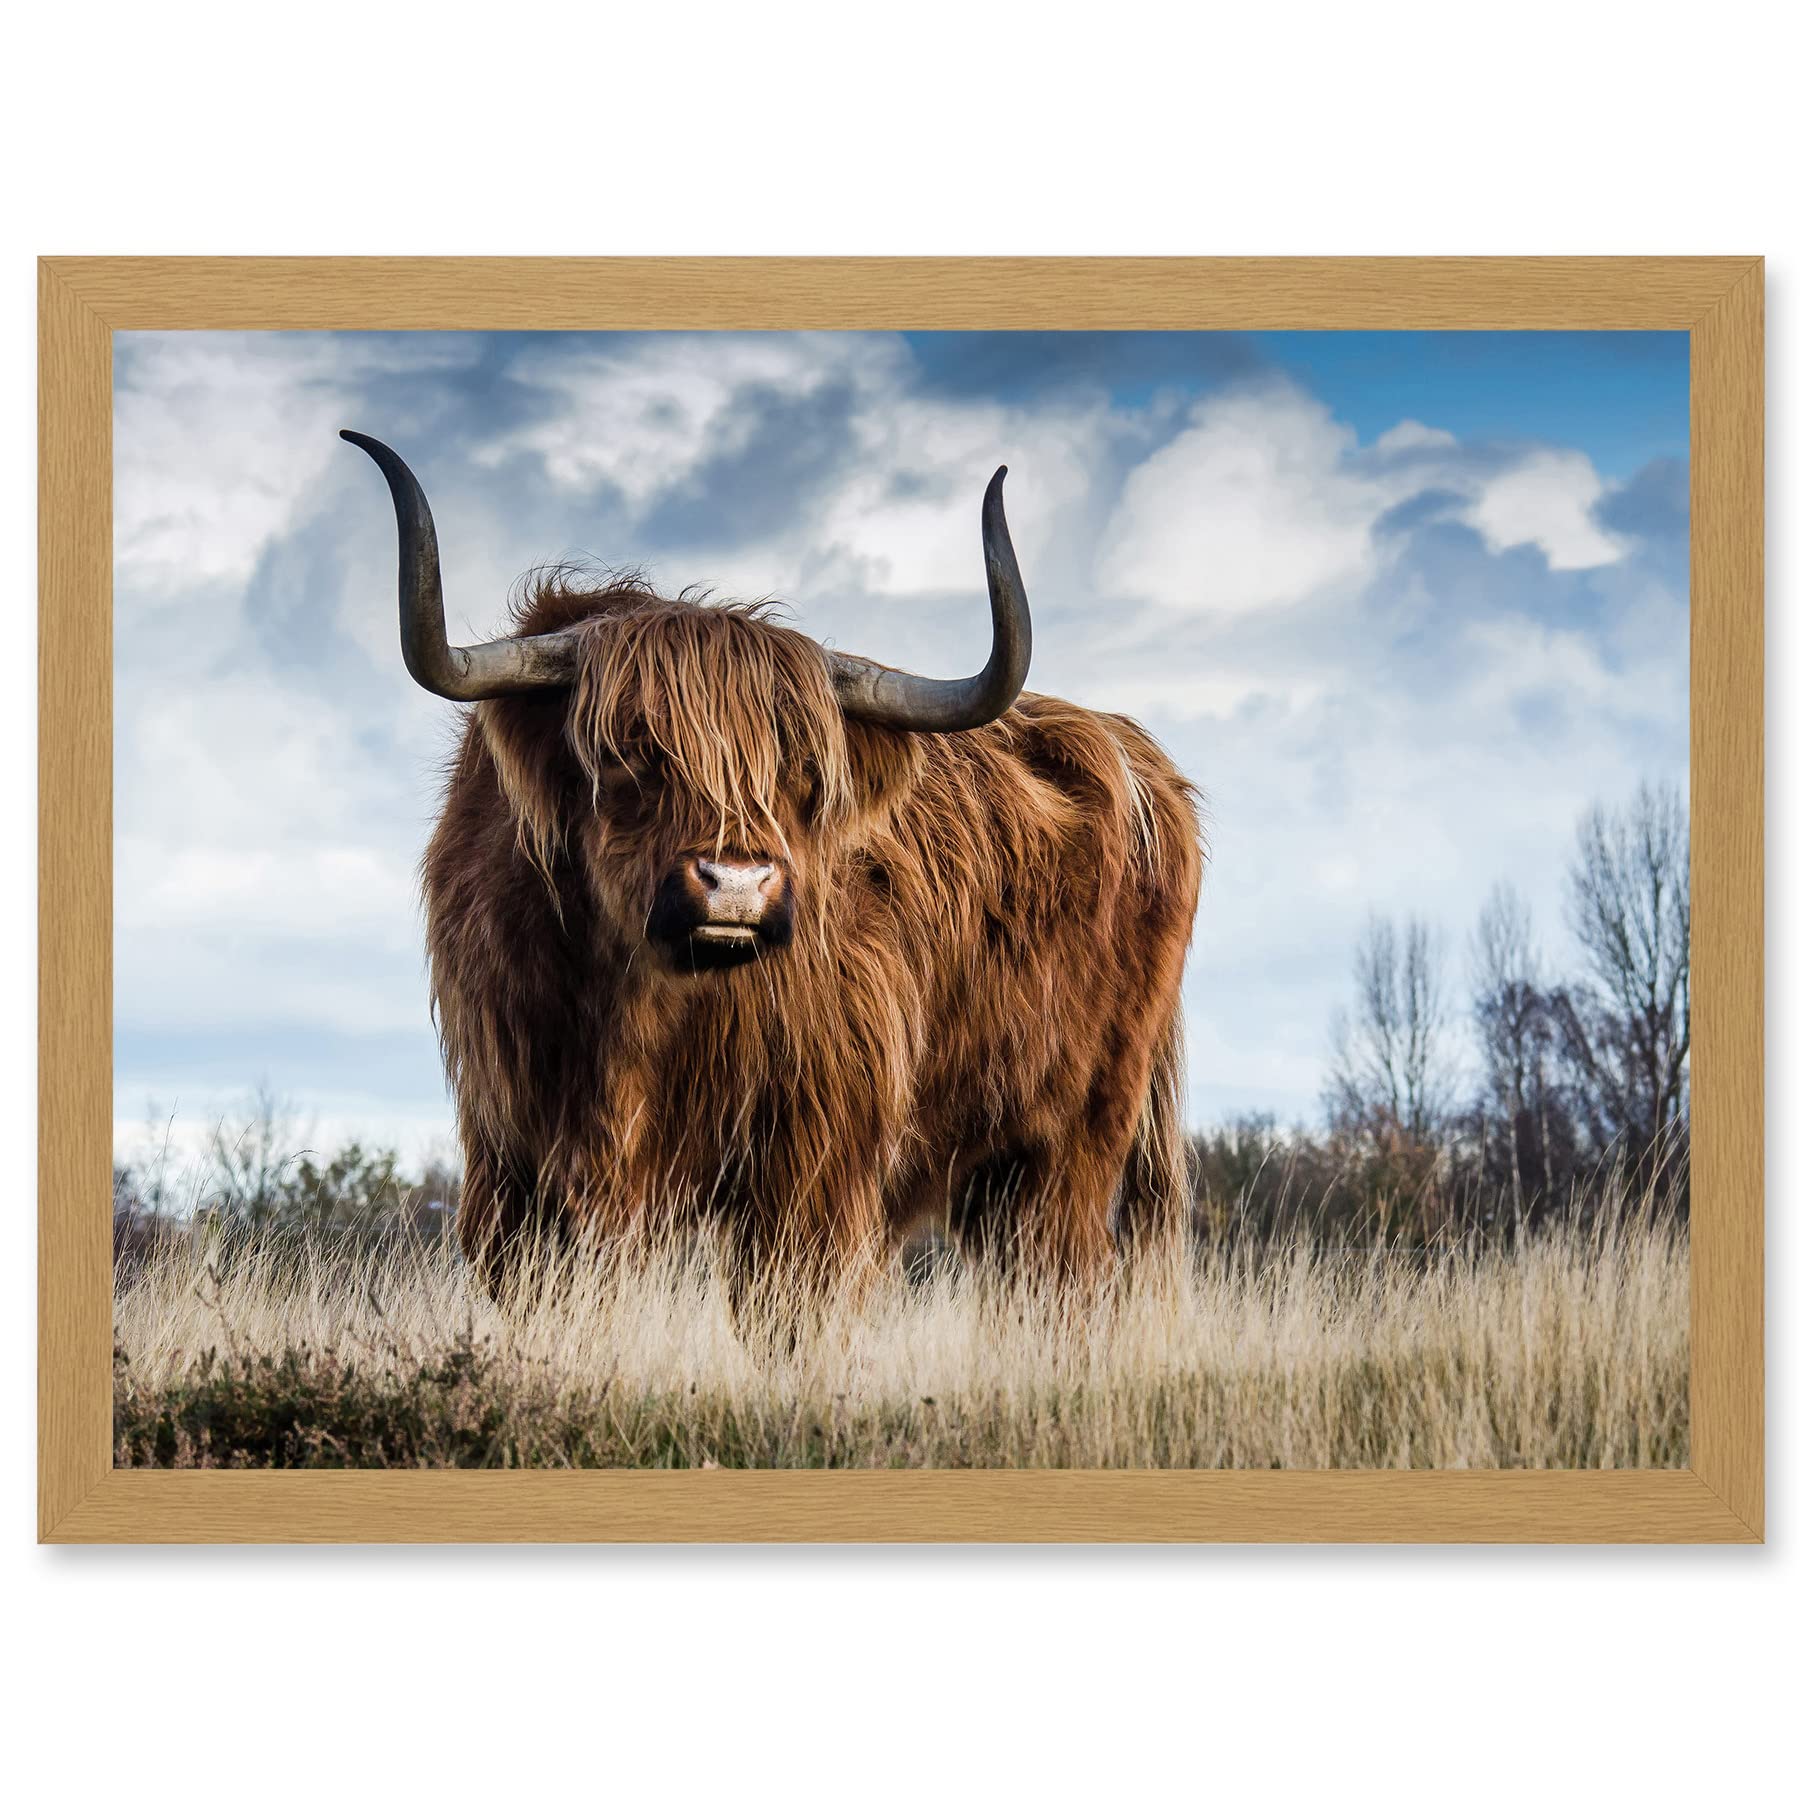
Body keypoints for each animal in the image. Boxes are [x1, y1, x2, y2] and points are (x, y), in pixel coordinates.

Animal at [343, 430, 1202, 1294]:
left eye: (803, 770)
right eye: (628, 753)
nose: (737, 885)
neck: (633, 1010)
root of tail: (1137, 754)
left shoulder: (814, 1161)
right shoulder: (512, 1157)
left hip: (1073, 1141)